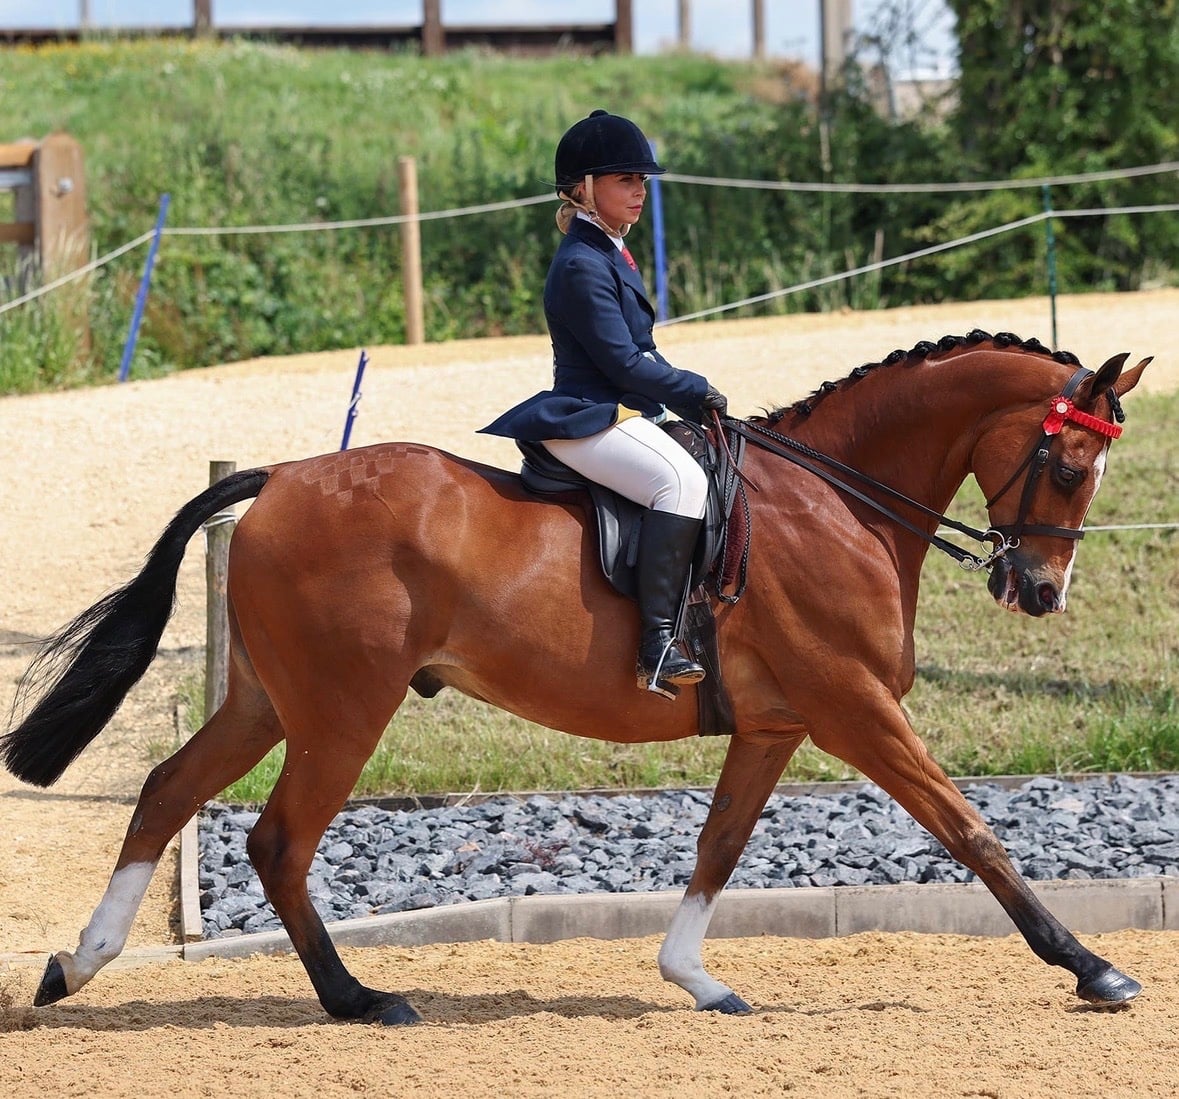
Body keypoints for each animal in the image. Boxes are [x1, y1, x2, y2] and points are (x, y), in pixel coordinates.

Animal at [1, 331, 1150, 1026]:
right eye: (1066, 466)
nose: (1038, 591)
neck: (838, 502)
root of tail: (282, 477)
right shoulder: (856, 709)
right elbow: (971, 830)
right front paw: (1091, 966)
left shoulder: (775, 725)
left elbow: (720, 845)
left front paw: (693, 977)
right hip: (342, 707)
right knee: (276, 838)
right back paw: (357, 998)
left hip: (265, 700)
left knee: (169, 791)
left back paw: (78, 964)